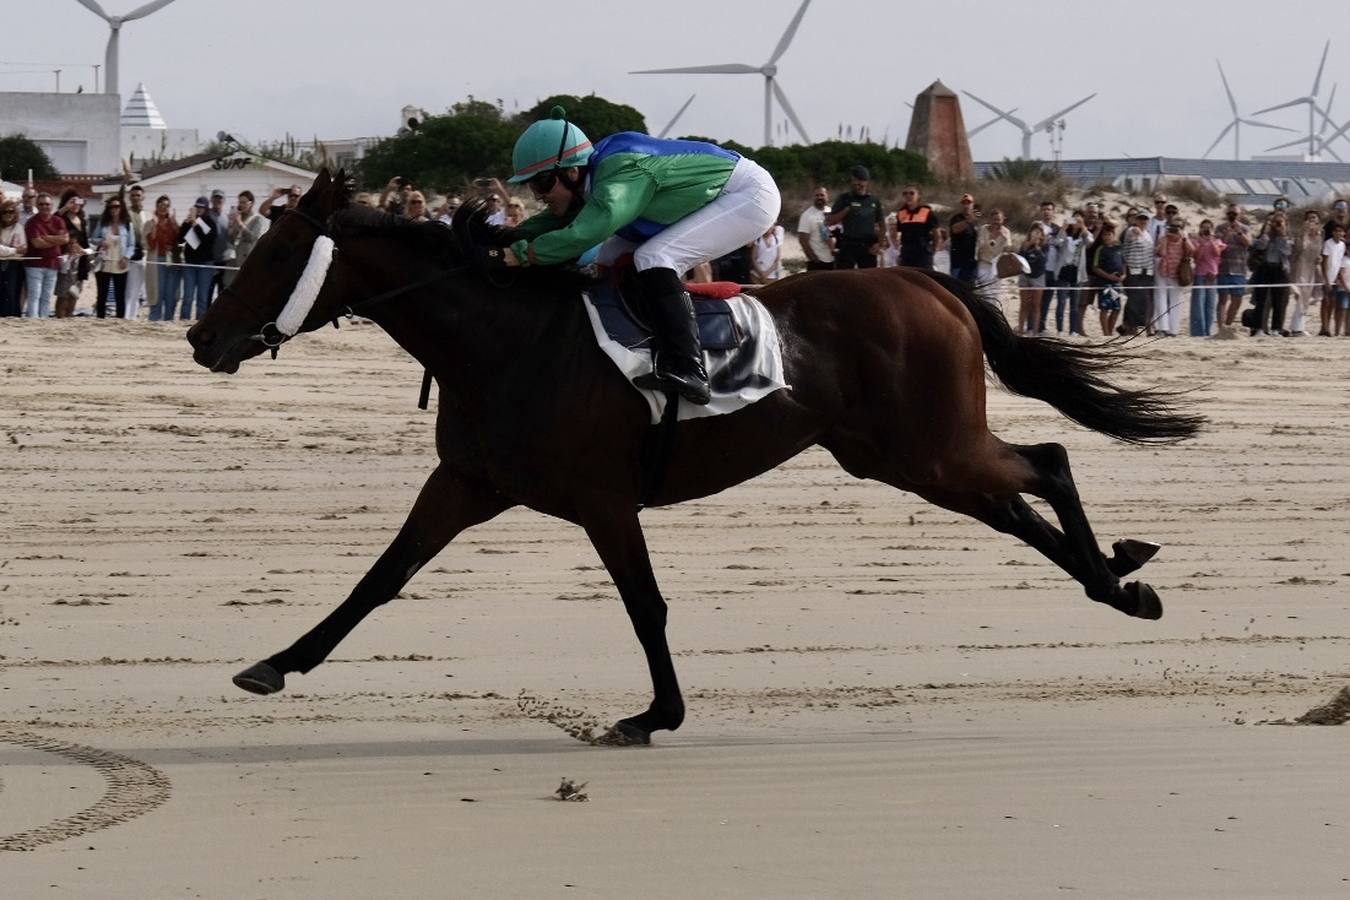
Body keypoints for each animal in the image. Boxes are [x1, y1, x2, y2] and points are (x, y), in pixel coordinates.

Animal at [186, 169, 1201, 745]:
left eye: (275, 251)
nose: (202, 337)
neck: (504, 342)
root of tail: (929, 281)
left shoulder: (602, 499)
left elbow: (645, 606)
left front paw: (655, 715)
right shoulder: (469, 482)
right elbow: (379, 578)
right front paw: (275, 663)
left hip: (931, 449)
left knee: (1049, 460)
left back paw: (1119, 577)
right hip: (899, 456)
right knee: (1022, 497)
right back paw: (1121, 579)